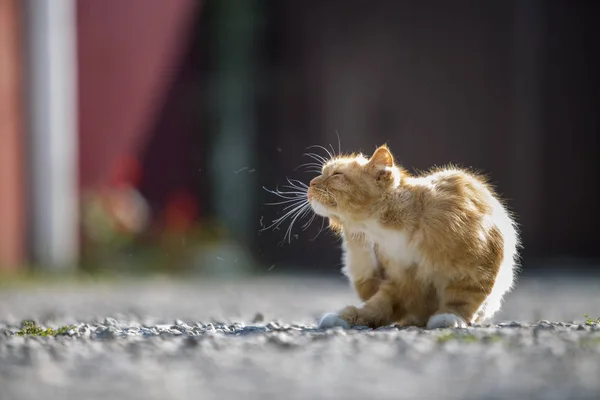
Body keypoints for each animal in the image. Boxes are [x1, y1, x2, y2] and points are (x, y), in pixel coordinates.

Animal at [274, 144, 520, 328]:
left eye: (336, 175)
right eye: (322, 174)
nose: (311, 183)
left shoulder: (474, 267)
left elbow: (462, 298)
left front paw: (449, 317)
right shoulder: (399, 281)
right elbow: (377, 306)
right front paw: (348, 317)